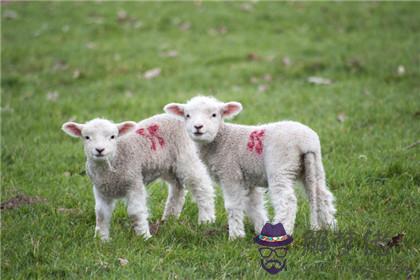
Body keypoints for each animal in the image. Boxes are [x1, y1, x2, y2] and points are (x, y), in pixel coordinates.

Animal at [60, 114, 215, 241]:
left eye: (112, 136)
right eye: (86, 137)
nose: (99, 150)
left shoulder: (134, 182)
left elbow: (135, 212)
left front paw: (144, 236)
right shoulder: (101, 190)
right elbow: (101, 214)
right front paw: (101, 239)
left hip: (186, 156)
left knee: (202, 187)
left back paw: (206, 220)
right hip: (168, 166)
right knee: (177, 189)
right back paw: (169, 219)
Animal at [164, 96, 338, 238]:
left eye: (214, 115)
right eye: (187, 115)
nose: (198, 127)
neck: (222, 140)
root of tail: (306, 142)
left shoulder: (230, 173)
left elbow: (233, 205)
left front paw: (236, 236)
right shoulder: (249, 179)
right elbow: (254, 206)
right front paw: (261, 228)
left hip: (281, 166)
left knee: (287, 201)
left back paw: (284, 231)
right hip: (314, 166)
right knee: (322, 195)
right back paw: (331, 228)